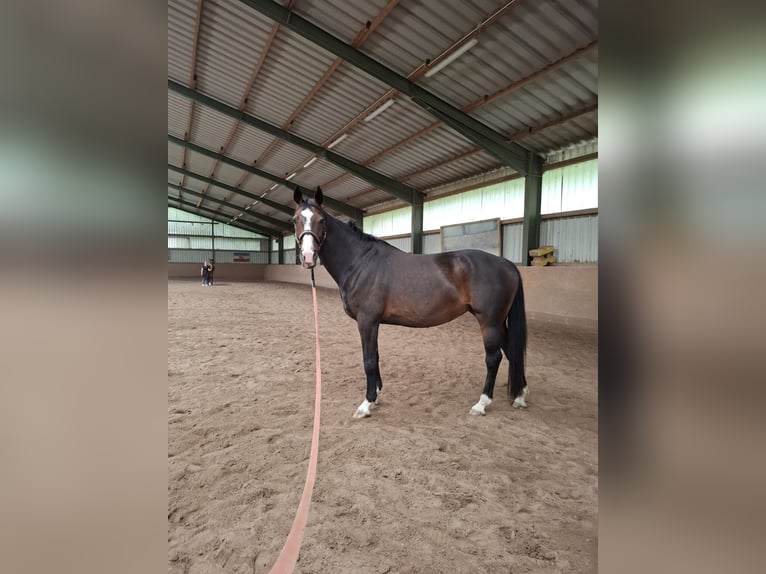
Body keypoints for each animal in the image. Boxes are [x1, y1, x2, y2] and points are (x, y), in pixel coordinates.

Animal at [292, 186, 529, 418]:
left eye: (321, 220)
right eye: (295, 220)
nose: (308, 256)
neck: (360, 262)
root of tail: (507, 264)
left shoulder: (367, 321)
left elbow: (368, 360)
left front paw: (366, 404)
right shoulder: (373, 323)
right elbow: (376, 356)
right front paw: (376, 394)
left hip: (489, 322)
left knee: (494, 358)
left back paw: (482, 404)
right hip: (499, 323)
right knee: (511, 352)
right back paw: (520, 396)